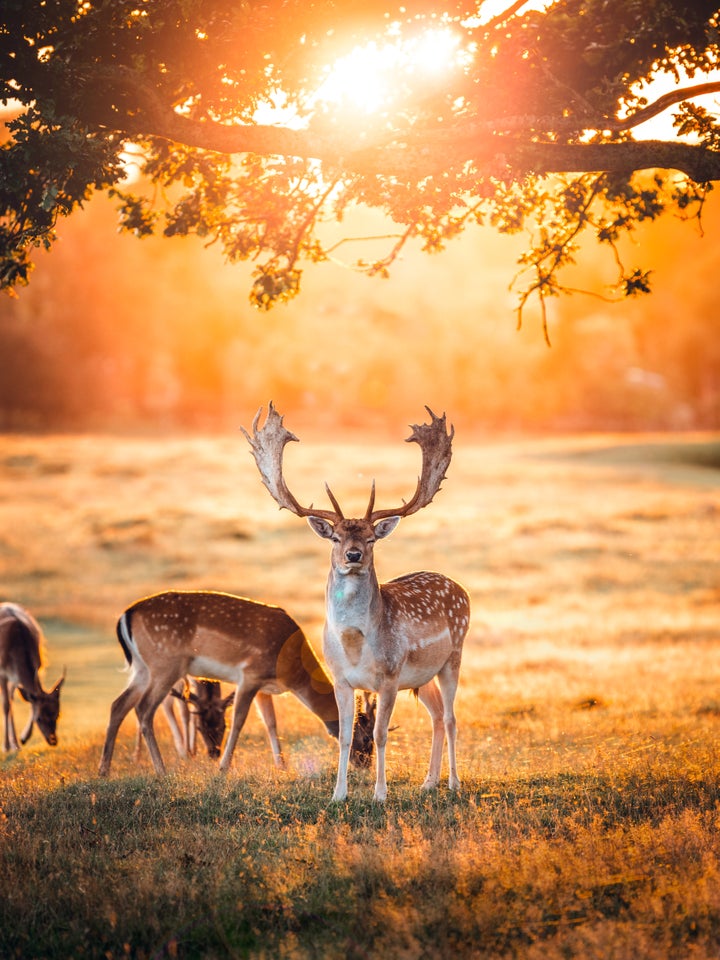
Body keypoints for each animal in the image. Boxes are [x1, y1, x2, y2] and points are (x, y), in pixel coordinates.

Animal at [0, 604, 64, 752]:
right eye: (39, 718)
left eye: (57, 714)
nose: (53, 740)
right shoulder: (2, 672)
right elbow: (5, 705)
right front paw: (6, 746)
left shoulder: (38, 666)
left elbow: (31, 700)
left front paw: (23, 738)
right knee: (8, 702)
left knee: (13, 699)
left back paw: (16, 743)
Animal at [98, 588, 374, 776]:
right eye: (363, 738)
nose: (365, 765)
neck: (293, 671)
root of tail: (125, 616)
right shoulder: (250, 675)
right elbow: (239, 720)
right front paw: (223, 768)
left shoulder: (264, 687)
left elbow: (271, 723)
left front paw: (281, 766)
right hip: (165, 664)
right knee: (144, 709)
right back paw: (161, 770)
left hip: (143, 669)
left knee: (118, 704)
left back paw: (104, 771)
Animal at [243, 404, 472, 804]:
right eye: (335, 536)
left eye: (371, 538)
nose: (353, 555)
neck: (353, 643)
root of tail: (460, 589)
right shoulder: (341, 679)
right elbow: (347, 736)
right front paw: (338, 795)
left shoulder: (390, 675)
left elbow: (379, 734)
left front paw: (380, 795)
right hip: (422, 676)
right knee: (436, 716)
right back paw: (428, 782)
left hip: (453, 655)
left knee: (450, 717)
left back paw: (454, 783)